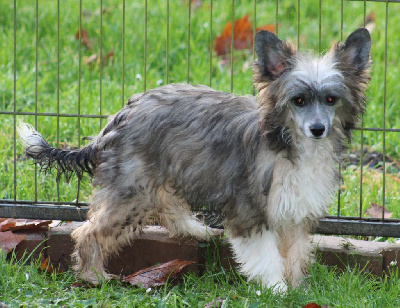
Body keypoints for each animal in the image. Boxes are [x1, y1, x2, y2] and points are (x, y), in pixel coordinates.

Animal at [17, 27, 370, 290]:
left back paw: (195, 230)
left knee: (167, 206)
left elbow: (294, 254)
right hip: (133, 190)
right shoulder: (250, 212)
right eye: (298, 101)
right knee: (89, 232)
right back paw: (93, 276)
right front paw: (277, 289)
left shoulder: (294, 213)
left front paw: (297, 287)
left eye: (331, 100)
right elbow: (267, 256)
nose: (318, 129)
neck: (288, 145)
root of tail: (117, 117)